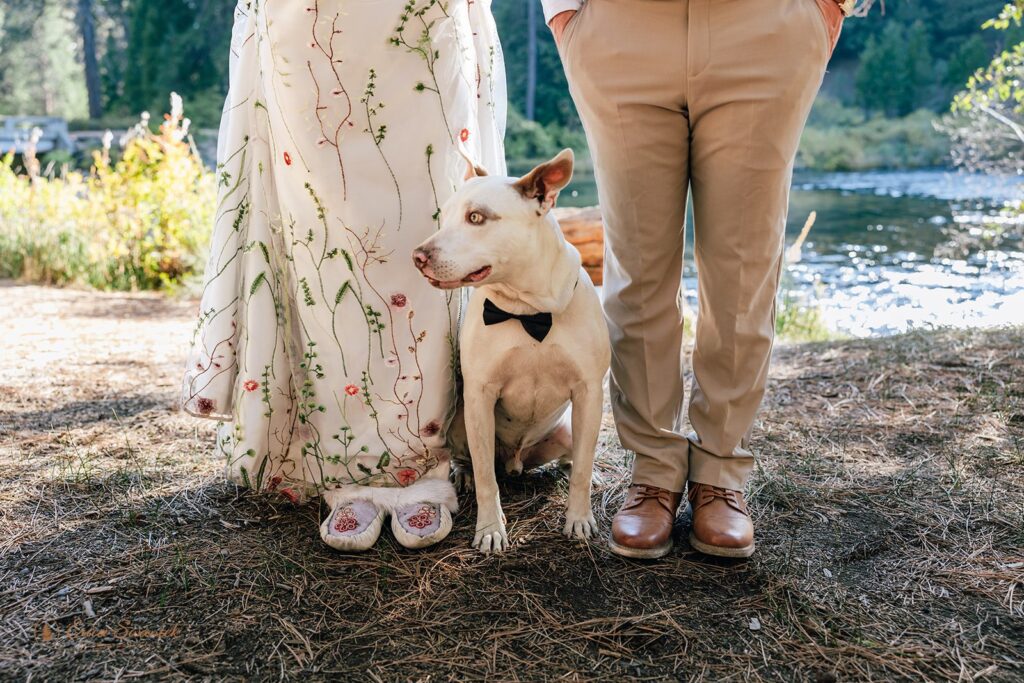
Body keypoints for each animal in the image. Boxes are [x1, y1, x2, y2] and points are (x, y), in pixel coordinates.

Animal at [411, 150, 610, 557]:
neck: (527, 309)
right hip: (461, 422)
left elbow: (583, 467)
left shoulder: (589, 392)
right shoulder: (480, 394)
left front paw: (579, 518)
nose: (418, 256)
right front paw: (490, 529)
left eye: (476, 217)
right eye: (444, 215)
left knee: (574, 455)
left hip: (567, 429)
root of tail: (516, 462)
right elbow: (487, 478)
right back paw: (464, 474)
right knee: (475, 462)